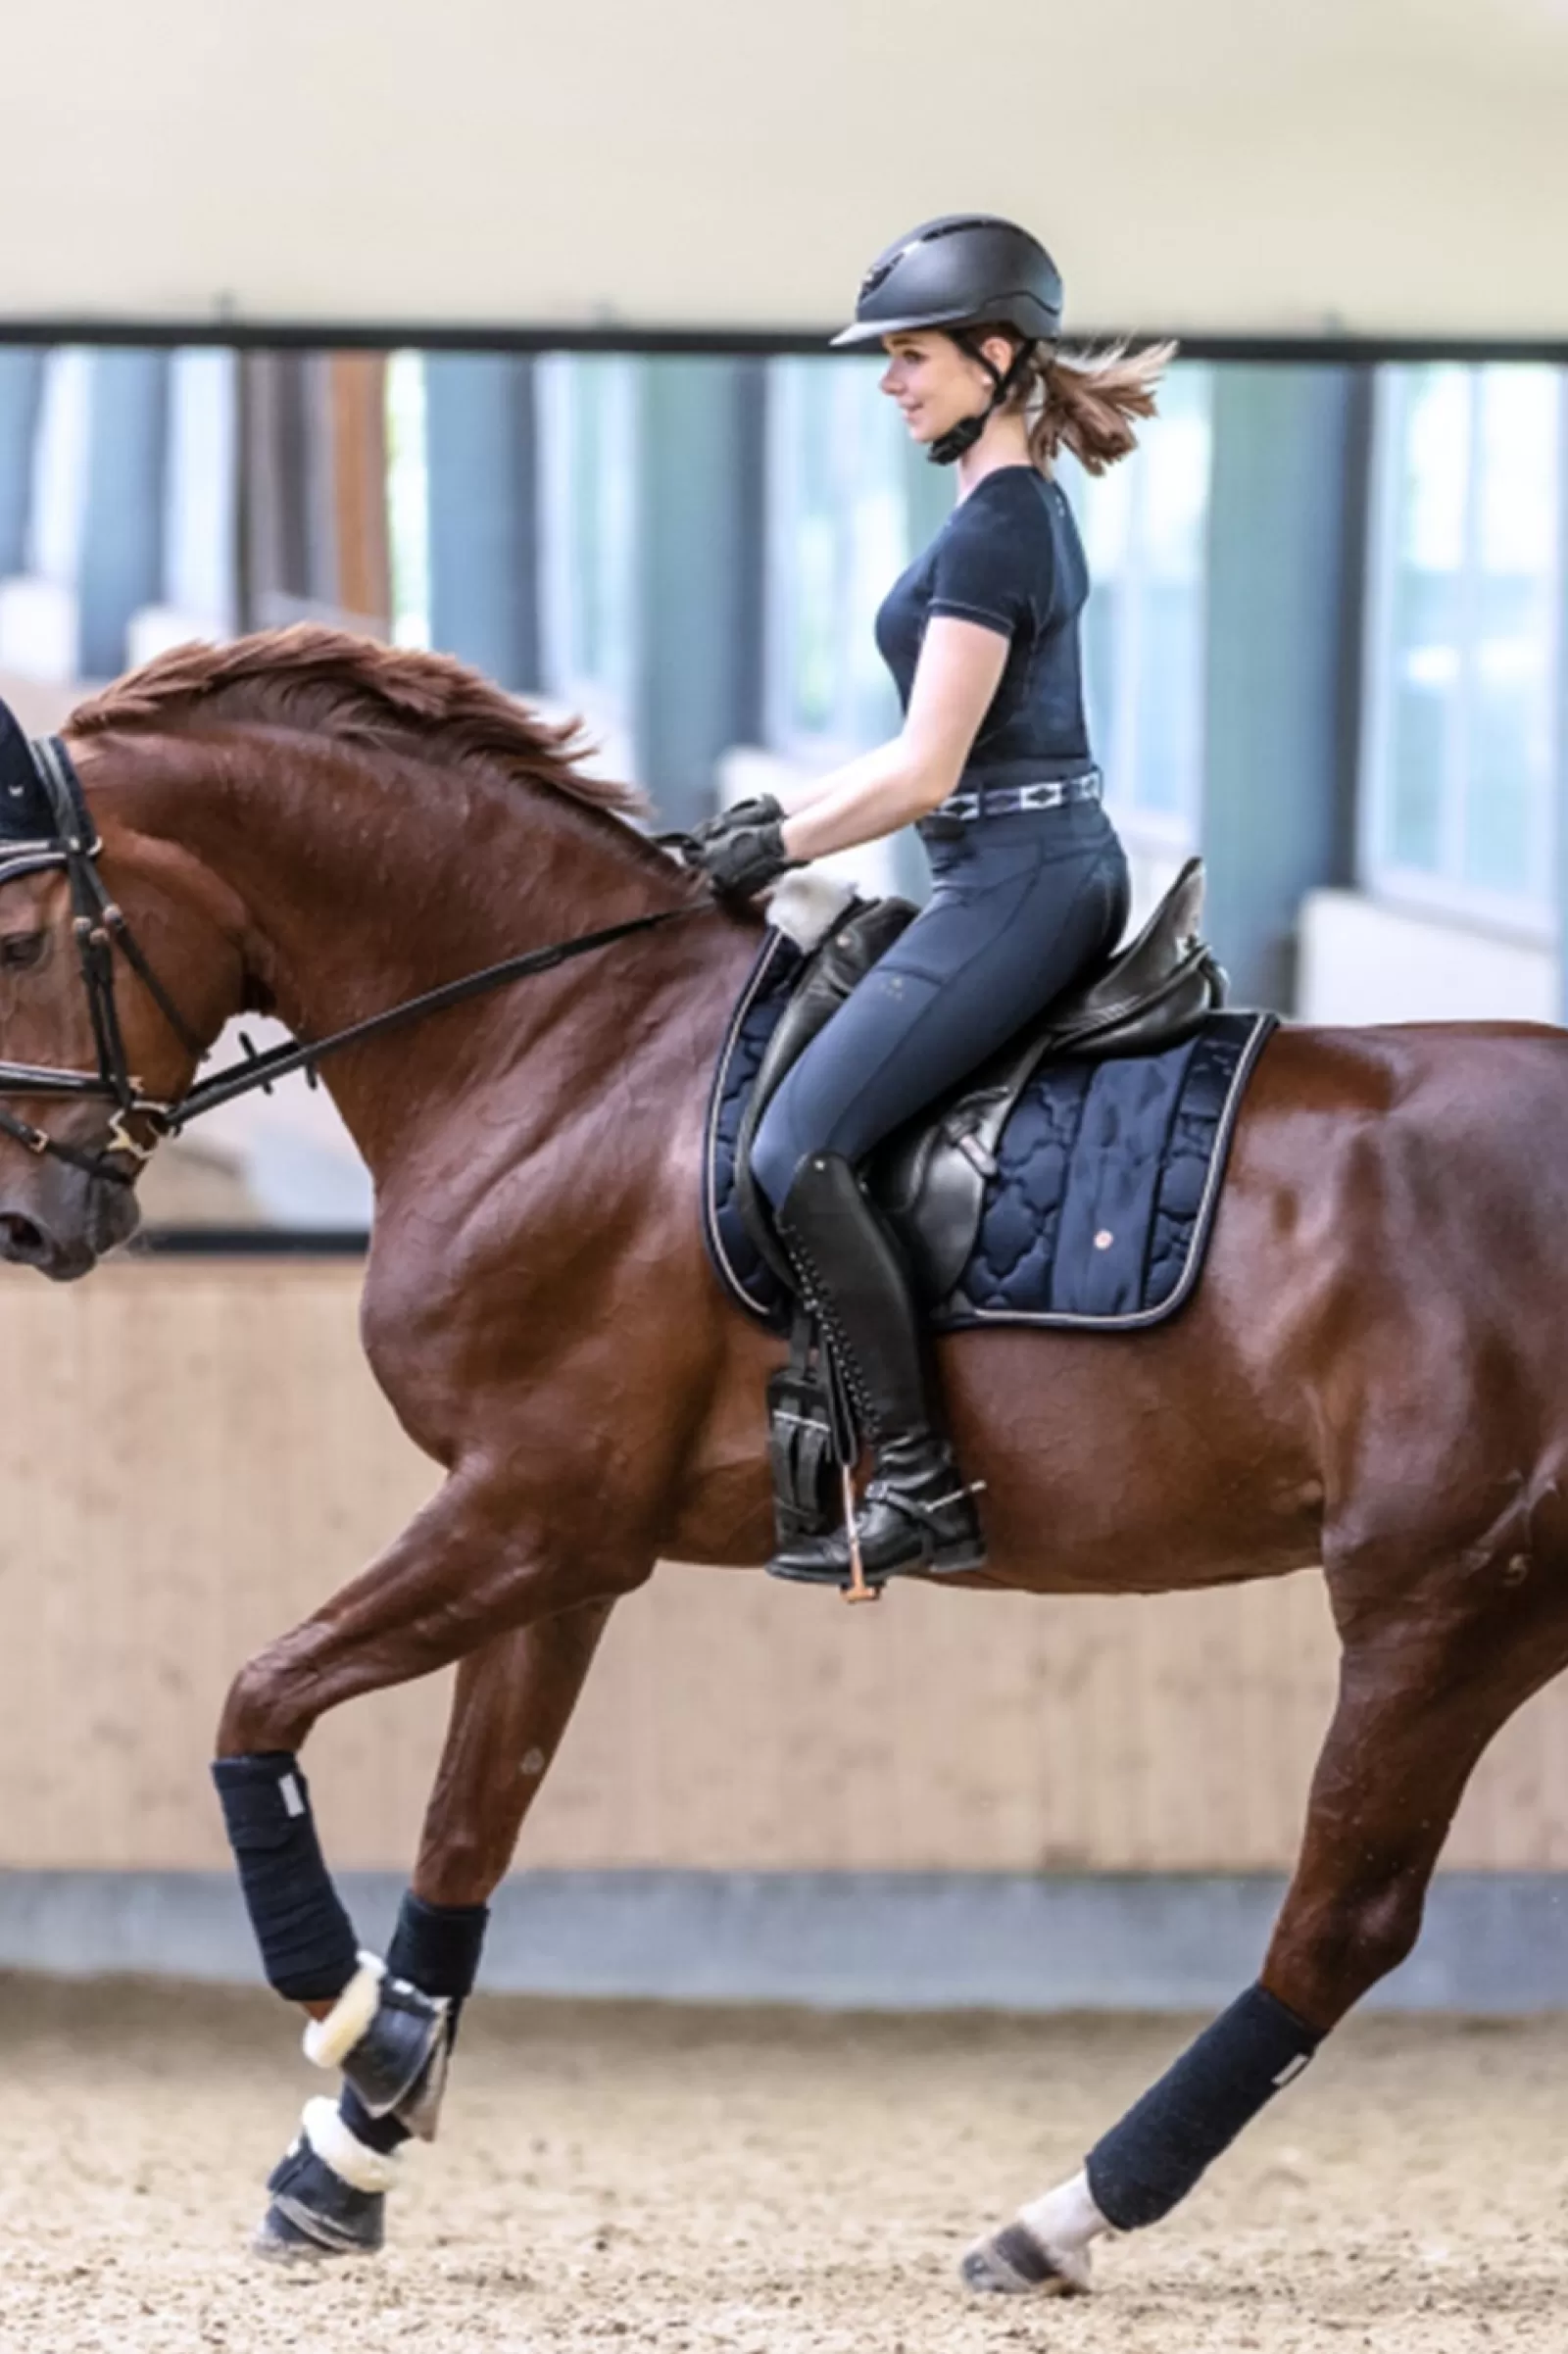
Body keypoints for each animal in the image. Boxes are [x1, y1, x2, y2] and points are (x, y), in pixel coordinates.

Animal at [3, 625, 1563, 2297]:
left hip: (1439, 1608)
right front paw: (351, 2148)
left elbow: (258, 1704)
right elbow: (470, 1823)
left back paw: (1053, 2217)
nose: (32, 1221)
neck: (560, 1048)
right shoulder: (555, 1543)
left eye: (18, 940)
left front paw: (354, 2029)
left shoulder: (529, 1510)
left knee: (1340, 1920)